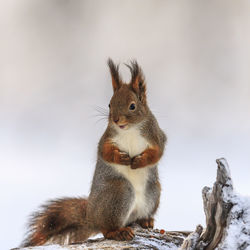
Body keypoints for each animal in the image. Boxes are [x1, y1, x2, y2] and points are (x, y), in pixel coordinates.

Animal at [21, 59, 166, 247]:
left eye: (132, 106)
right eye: (109, 104)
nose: (116, 120)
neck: (130, 130)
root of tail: (92, 217)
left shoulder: (156, 135)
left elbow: (158, 152)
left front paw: (139, 161)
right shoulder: (106, 138)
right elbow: (105, 152)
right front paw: (122, 158)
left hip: (153, 190)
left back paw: (145, 220)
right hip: (118, 192)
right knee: (106, 230)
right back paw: (118, 232)